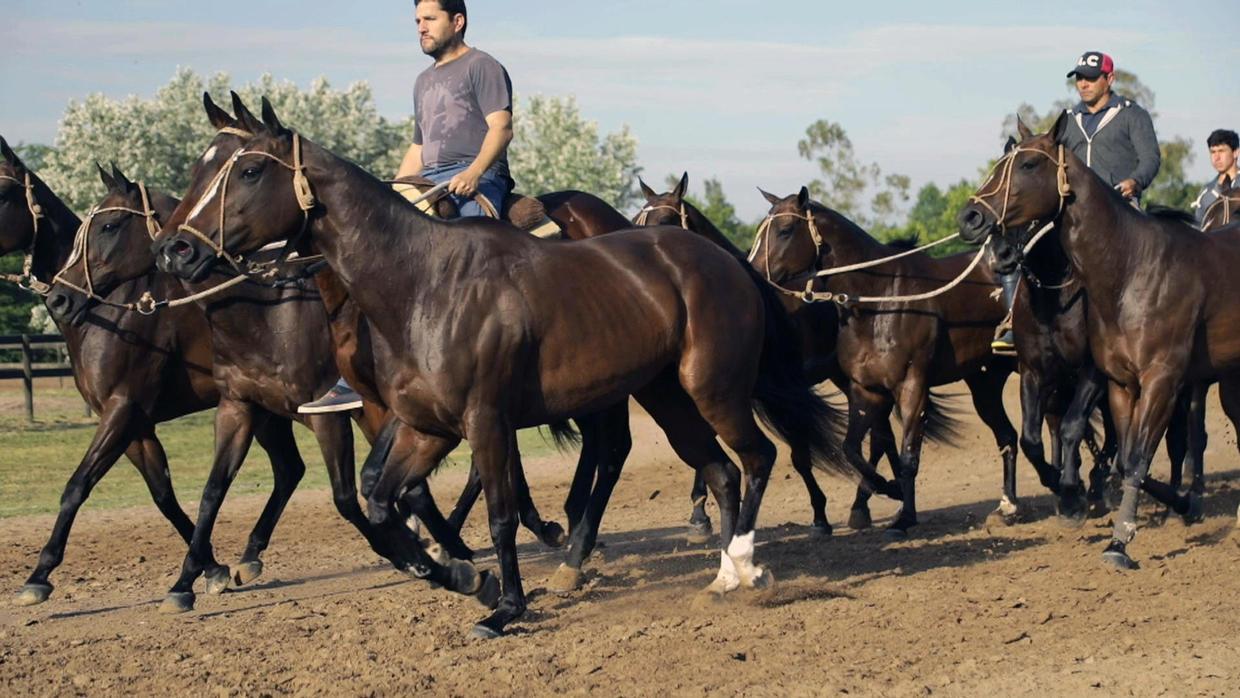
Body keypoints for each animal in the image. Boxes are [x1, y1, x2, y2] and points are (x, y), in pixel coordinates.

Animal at [152, 96, 853, 639]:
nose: (175, 249)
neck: (423, 282)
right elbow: (380, 502)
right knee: (718, 470)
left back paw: (745, 563)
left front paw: (505, 605)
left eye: (248, 170)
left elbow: (497, 511)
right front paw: (465, 574)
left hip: (713, 388)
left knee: (755, 457)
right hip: (665, 397)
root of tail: (727, 261)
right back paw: (721, 575)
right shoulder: (424, 426)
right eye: (201, 165)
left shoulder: (485, 420)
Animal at [634, 174, 907, 535]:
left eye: (665, 220)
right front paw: (699, 513)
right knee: (882, 433)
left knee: (880, 435)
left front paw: (820, 516)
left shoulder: (783, 391)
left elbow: (798, 455)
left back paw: (873, 500)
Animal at [748, 185, 1021, 535]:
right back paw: (1008, 507)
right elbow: (853, 449)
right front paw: (888, 490)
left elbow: (907, 458)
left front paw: (904, 515)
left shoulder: (912, 387)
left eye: (784, 230)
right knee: (1007, 436)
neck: (882, 300)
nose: (751, 272)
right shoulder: (867, 391)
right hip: (985, 382)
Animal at [957, 115, 1240, 572]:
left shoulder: (1155, 381)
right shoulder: (1096, 379)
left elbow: (1123, 451)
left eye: (1030, 165)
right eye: (1002, 162)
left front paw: (1113, 533)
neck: (1132, 270)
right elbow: (1063, 444)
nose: (971, 217)